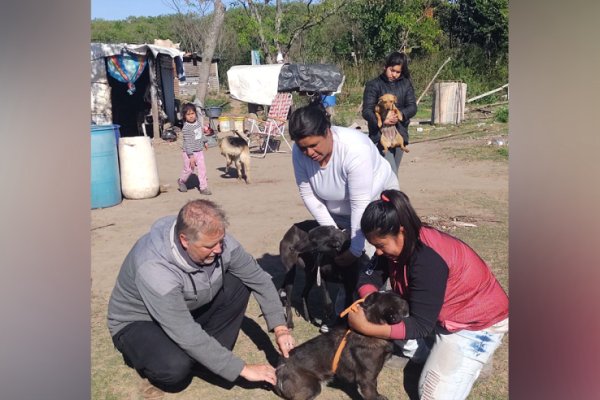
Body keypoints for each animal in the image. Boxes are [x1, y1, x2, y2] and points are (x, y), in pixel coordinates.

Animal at [274, 290, 410, 400]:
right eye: (400, 303)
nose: (407, 302)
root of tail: (280, 367)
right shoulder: (367, 380)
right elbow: (373, 393)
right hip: (312, 387)